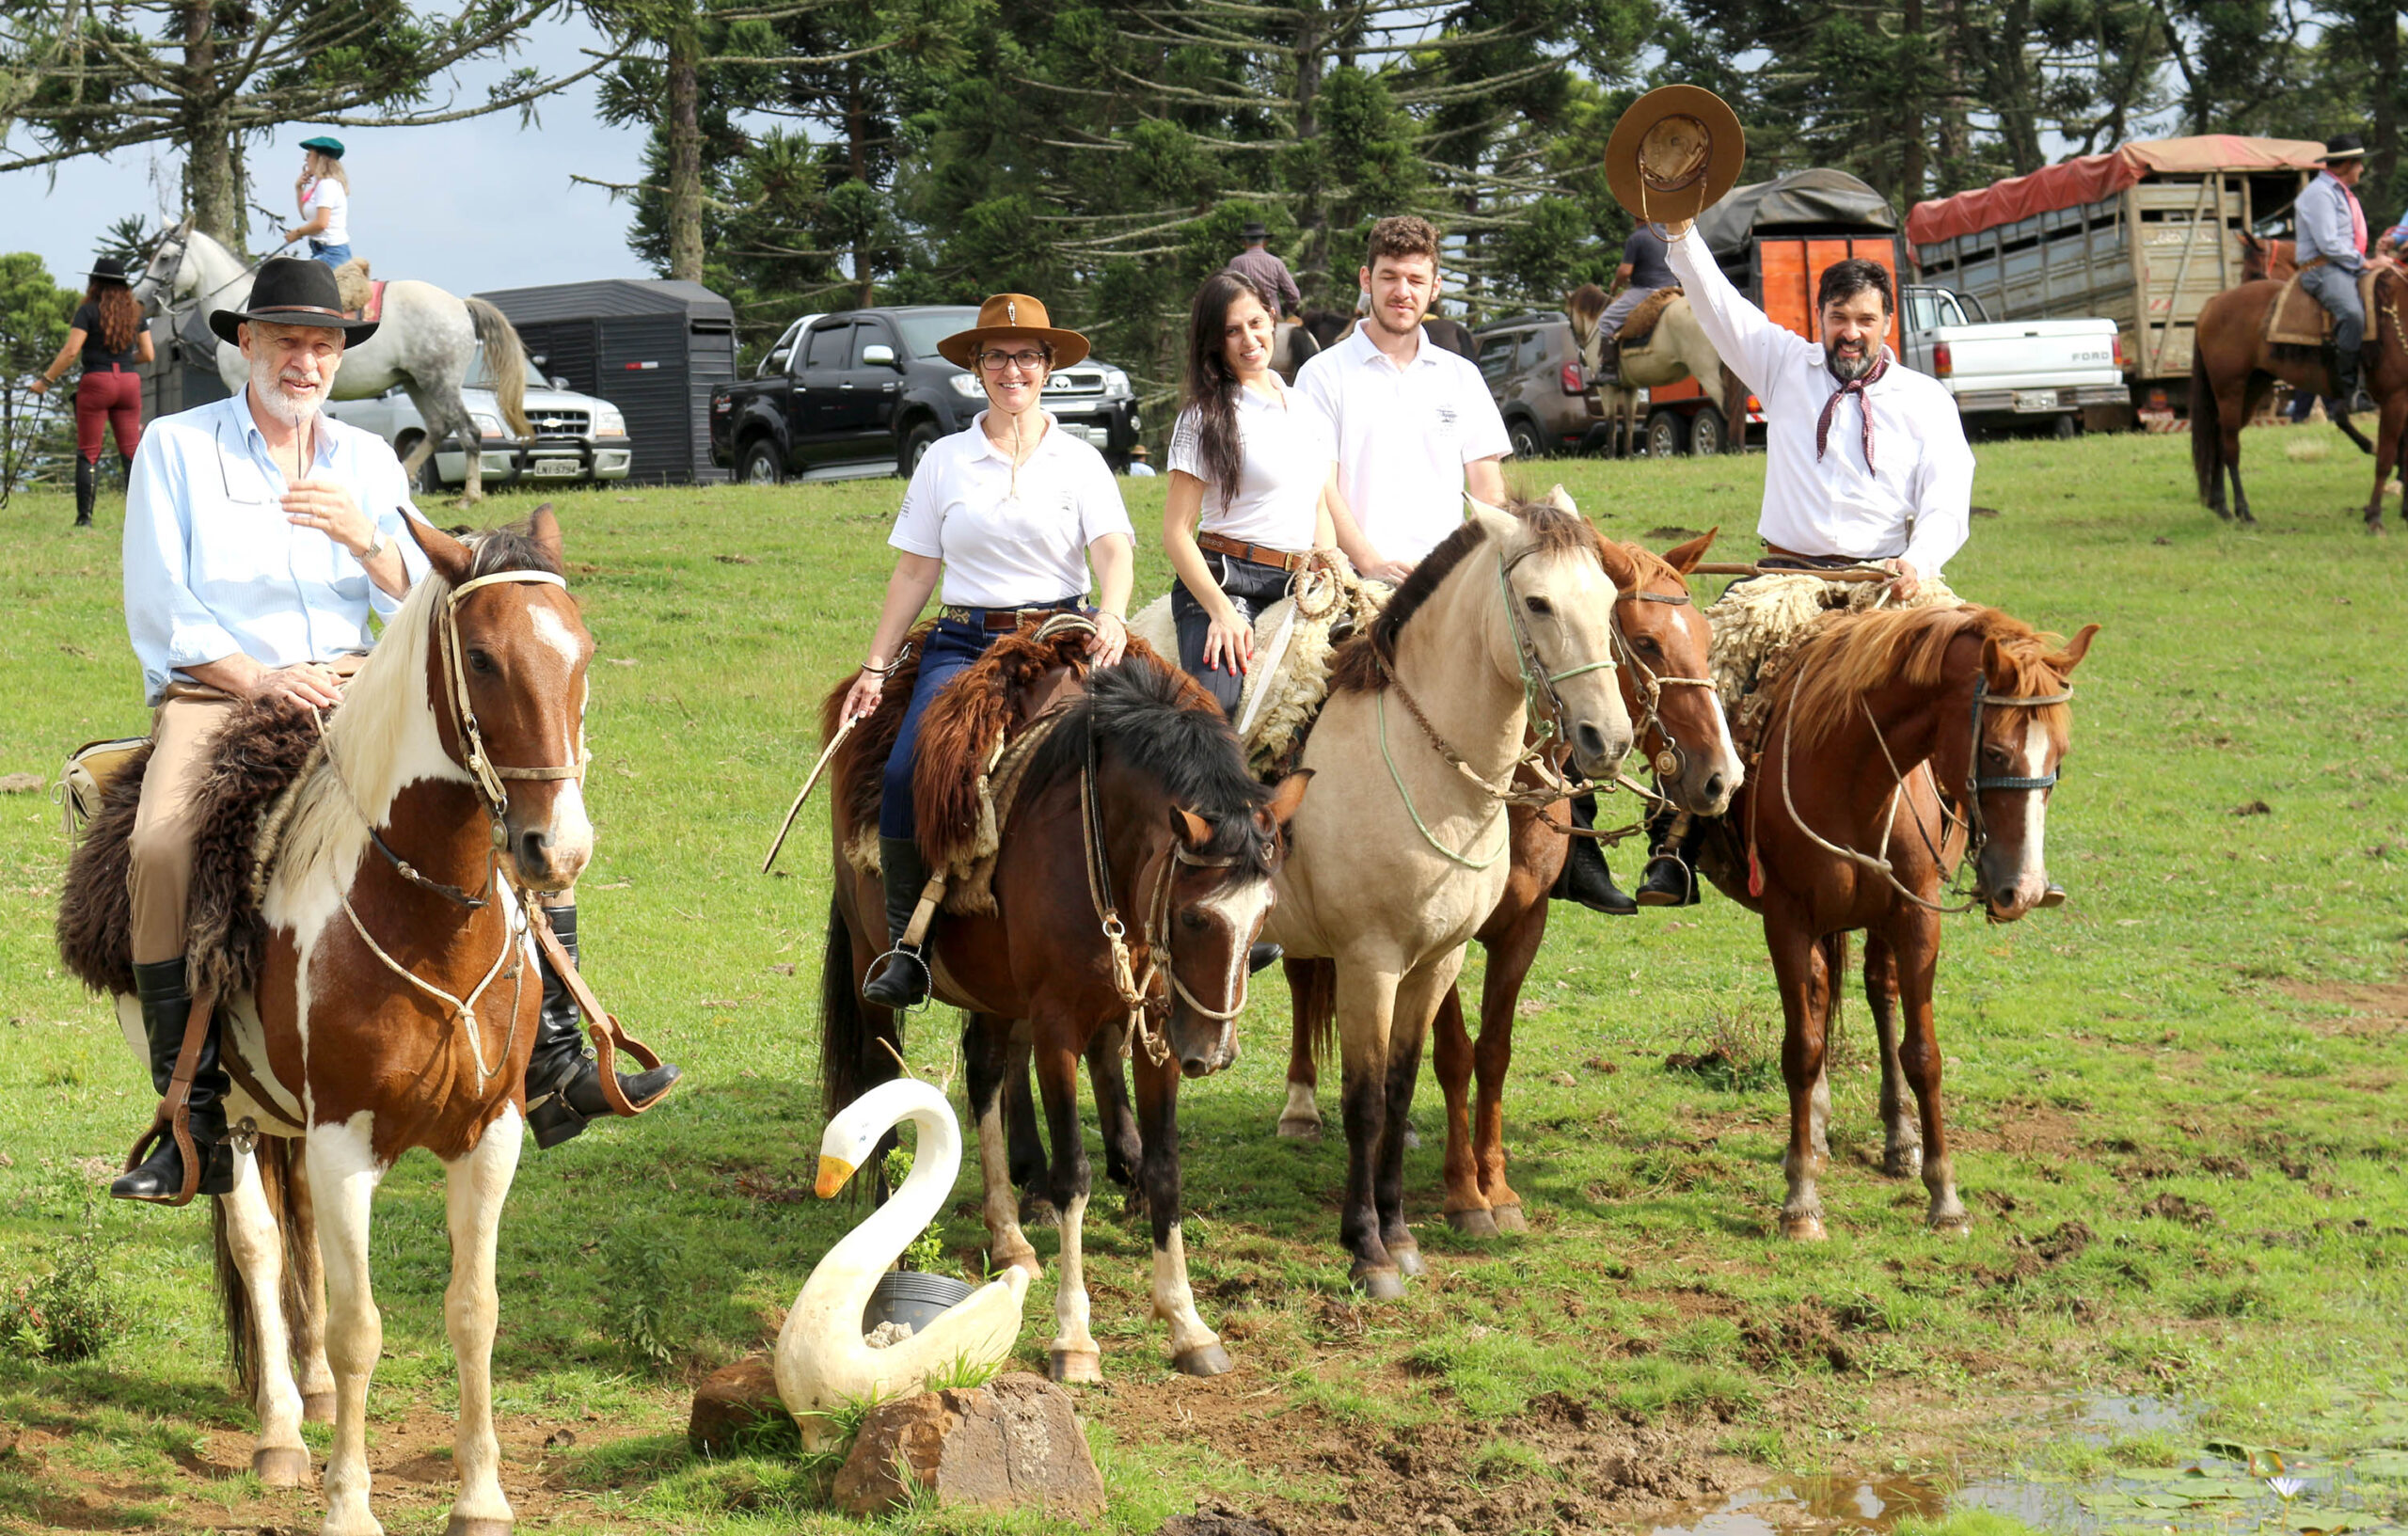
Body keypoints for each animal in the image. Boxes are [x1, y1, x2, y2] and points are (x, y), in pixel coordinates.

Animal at [132, 222, 531, 502]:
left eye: (165, 257)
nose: (139, 299)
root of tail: (460, 304)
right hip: (416, 382)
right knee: (437, 428)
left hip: (440, 381)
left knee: (469, 431)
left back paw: (469, 496)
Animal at [814, 630, 1309, 1386]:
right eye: (1195, 916)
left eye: (1264, 911)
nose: (1212, 1053)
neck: (1103, 847)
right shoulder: (1057, 1028)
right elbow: (1074, 1174)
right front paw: (1075, 1337)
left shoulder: (1156, 1025)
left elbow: (1165, 1166)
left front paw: (1187, 1323)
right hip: (877, 964)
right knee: (881, 1085)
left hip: (996, 989)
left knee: (986, 1072)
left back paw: (1010, 1235)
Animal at [1271, 530, 1743, 1242]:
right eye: (1647, 642)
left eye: (1706, 636)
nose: (1722, 776)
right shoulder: (1441, 941)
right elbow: (1453, 1054)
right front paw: (1464, 1193)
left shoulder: (1523, 927)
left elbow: (1493, 1052)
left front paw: (1496, 1185)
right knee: (1303, 977)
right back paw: (1300, 1106)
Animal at [1695, 601, 2090, 1242]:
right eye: (1995, 753)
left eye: (2060, 757)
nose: (2024, 891)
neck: (1852, 770)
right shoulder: (1785, 918)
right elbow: (1801, 1050)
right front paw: (1800, 1199)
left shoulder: (1915, 916)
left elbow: (1923, 1053)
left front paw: (1945, 1198)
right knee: (1820, 997)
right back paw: (1817, 1133)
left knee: (1879, 993)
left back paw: (1899, 1139)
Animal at [2195, 261, 2408, 531]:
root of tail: (2213, 303)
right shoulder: (2395, 399)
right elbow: (2385, 459)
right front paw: (2374, 517)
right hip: (2230, 390)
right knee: (2231, 447)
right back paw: (2244, 512)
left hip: (2251, 388)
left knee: (2219, 437)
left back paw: (2221, 506)